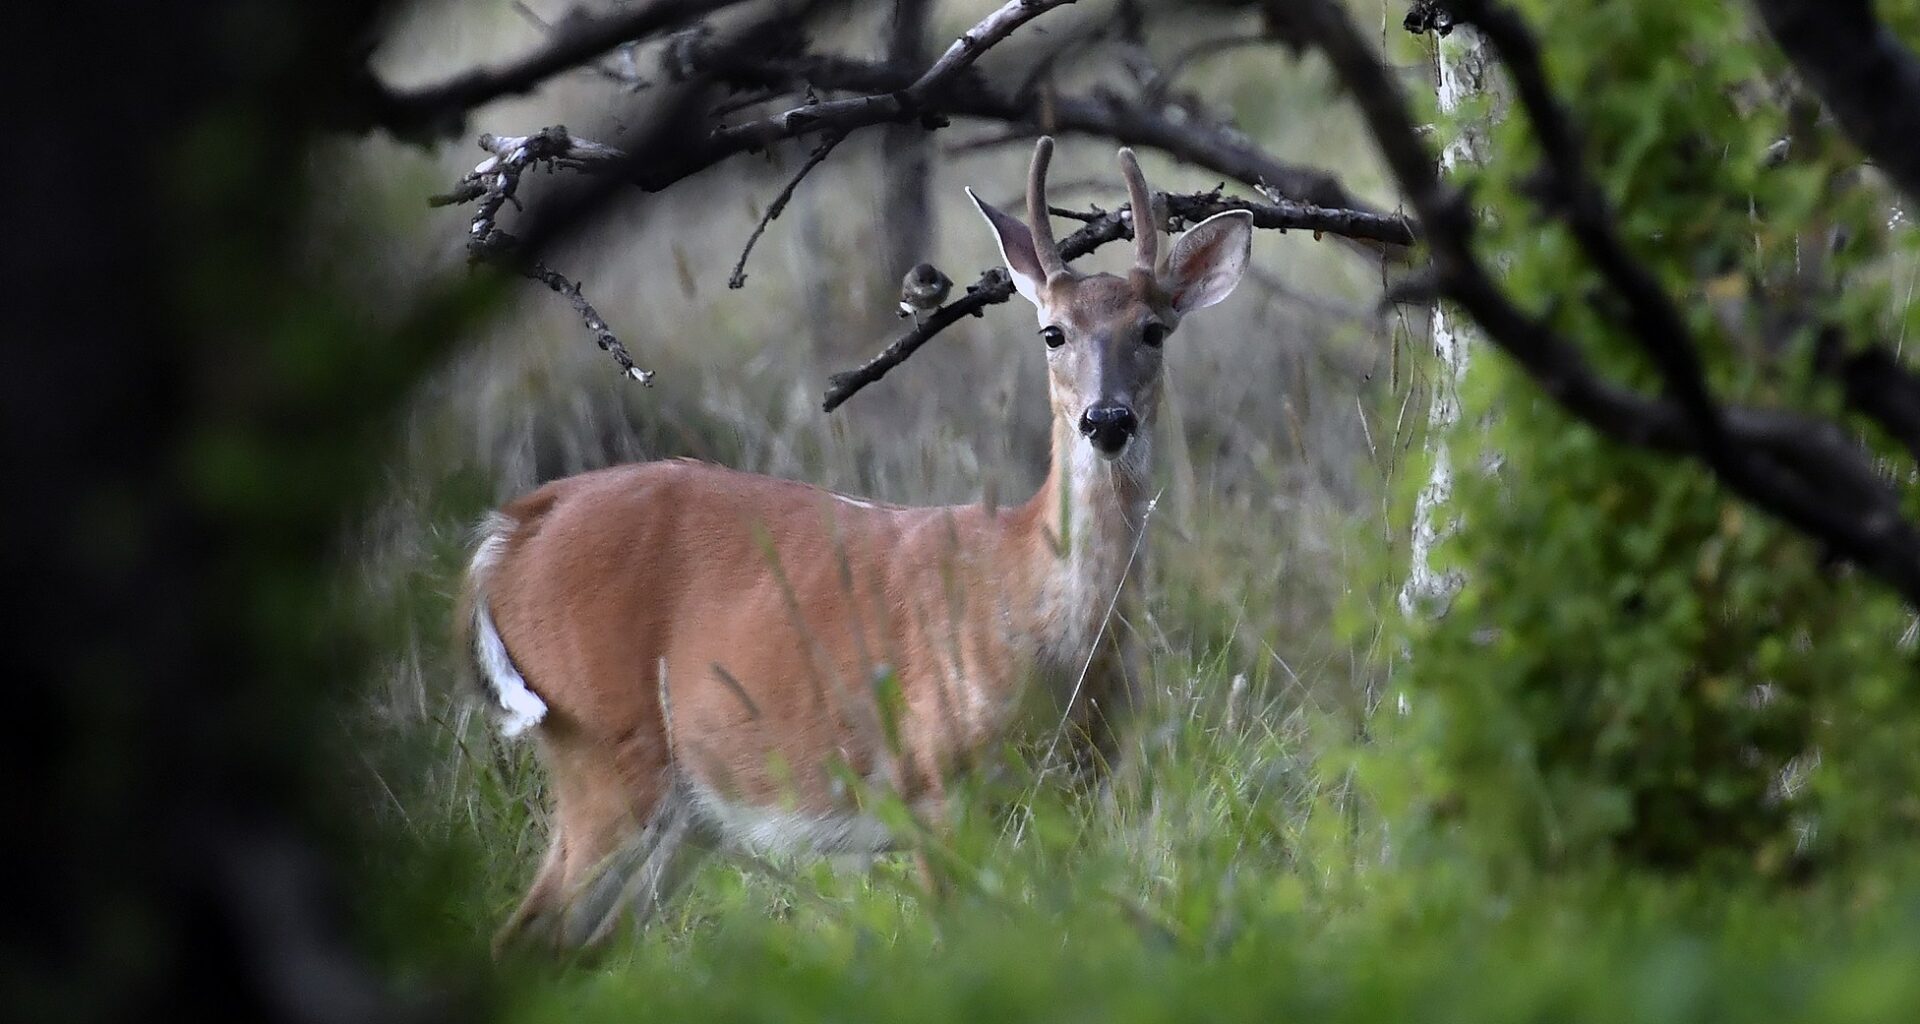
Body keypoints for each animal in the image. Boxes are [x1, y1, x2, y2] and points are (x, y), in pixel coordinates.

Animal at [457, 137, 1252, 954]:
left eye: (1153, 330)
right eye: (1052, 332)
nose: (1106, 419)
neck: (1040, 618)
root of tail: (512, 528)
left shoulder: (1081, 792)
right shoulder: (935, 784)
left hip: (686, 813)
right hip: (602, 746)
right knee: (522, 933)